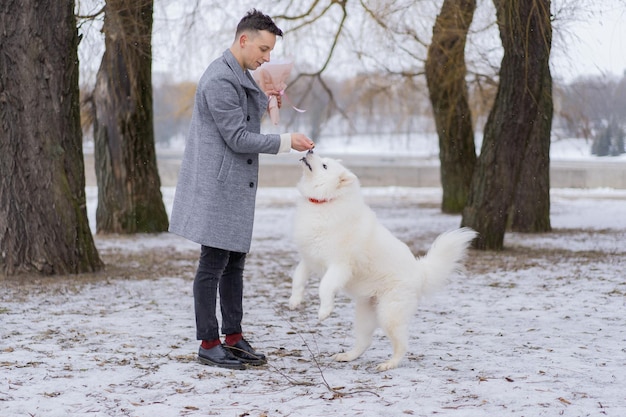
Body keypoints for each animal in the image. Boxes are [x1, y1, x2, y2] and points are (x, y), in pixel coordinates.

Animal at [290, 150, 476, 370]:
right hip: (365, 314)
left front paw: (324, 311)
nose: (310, 150)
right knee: (365, 341)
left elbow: (325, 287)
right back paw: (347, 356)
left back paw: (389, 364)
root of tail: (420, 273)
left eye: (325, 165)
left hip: (389, 314)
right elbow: (298, 279)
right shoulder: (308, 259)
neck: (325, 202)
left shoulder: (339, 265)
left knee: (402, 344)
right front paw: (294, 301)